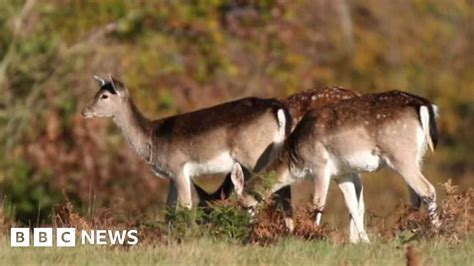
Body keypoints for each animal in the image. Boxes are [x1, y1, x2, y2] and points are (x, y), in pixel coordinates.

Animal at [81, 74, 292, 214]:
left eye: (104, 96)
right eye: (97, 92)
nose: (84, 111)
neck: (152, 139)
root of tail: (278, 109)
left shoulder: (177, 166)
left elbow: (184, 206)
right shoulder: (170, 175)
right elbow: (169, 210)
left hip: (255, 154)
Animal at [228, 91, 438, 243]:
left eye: (245, 206)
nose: (246, 231)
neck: (294, 163)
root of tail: (425, 106)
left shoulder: (320, 166)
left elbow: (318, 203)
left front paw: (311, 236)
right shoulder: (342, 173)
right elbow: (353, 204)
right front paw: (365, 241)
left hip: (401, 155)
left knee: (428, 190)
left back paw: (436, 234)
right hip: (416, 157)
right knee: (416, 196)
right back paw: (407, 233)